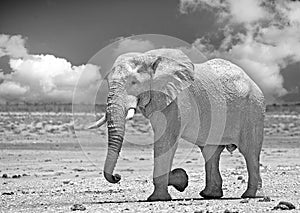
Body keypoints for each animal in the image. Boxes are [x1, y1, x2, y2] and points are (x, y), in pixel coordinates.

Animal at [89, 48, 264, 201]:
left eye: (134, 83)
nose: (117, 176)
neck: (149, 58)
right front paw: (181, 179)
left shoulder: (177, 100)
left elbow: (165, 141)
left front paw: (159, 197)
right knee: (210, 152)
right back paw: (210, 195)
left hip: (253, 108)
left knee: (250, 152)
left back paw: (251, 195)